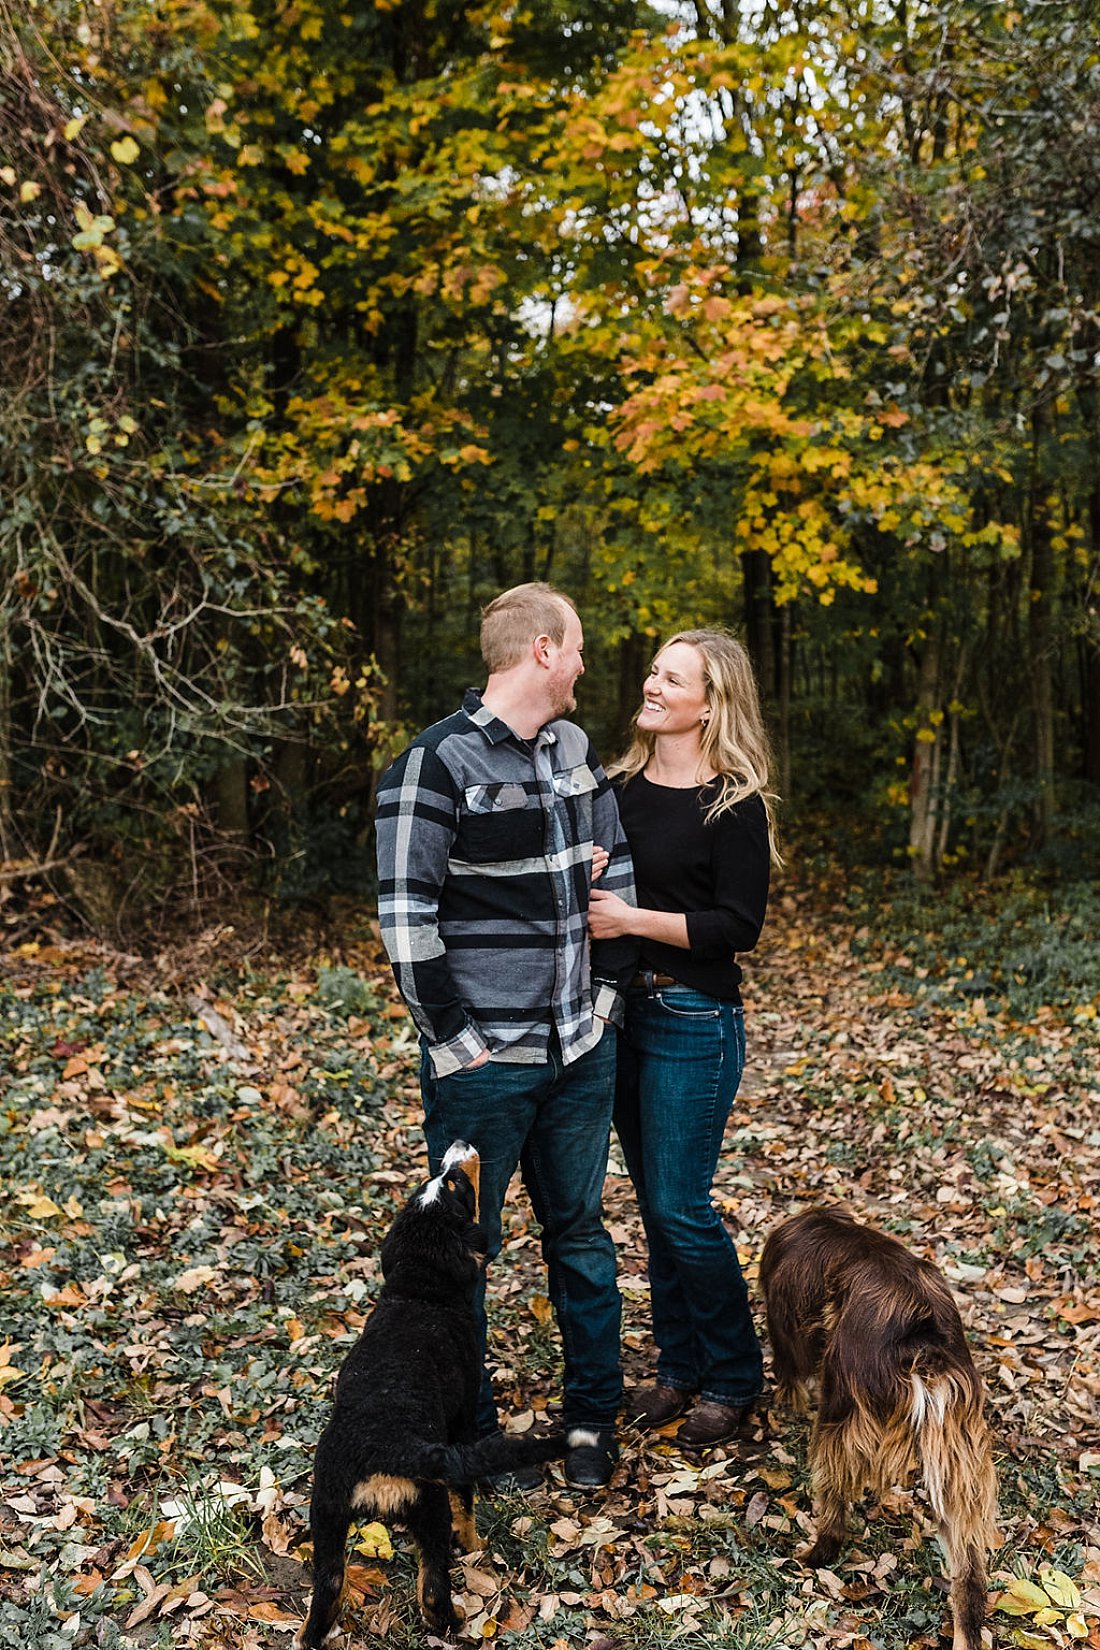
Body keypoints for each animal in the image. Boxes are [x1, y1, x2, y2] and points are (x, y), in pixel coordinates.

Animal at [296, 1141, 564, 1643]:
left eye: (442, 1181)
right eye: (457, 1185)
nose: (458, 1145)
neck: (419, 1293)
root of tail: (382, 1451)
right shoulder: (461, 1421)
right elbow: (467, 1502)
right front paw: (476, 1545)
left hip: (326, 1516)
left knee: (326, 1593)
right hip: (428, 1508)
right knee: (433, 1590)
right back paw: (457, 1622)